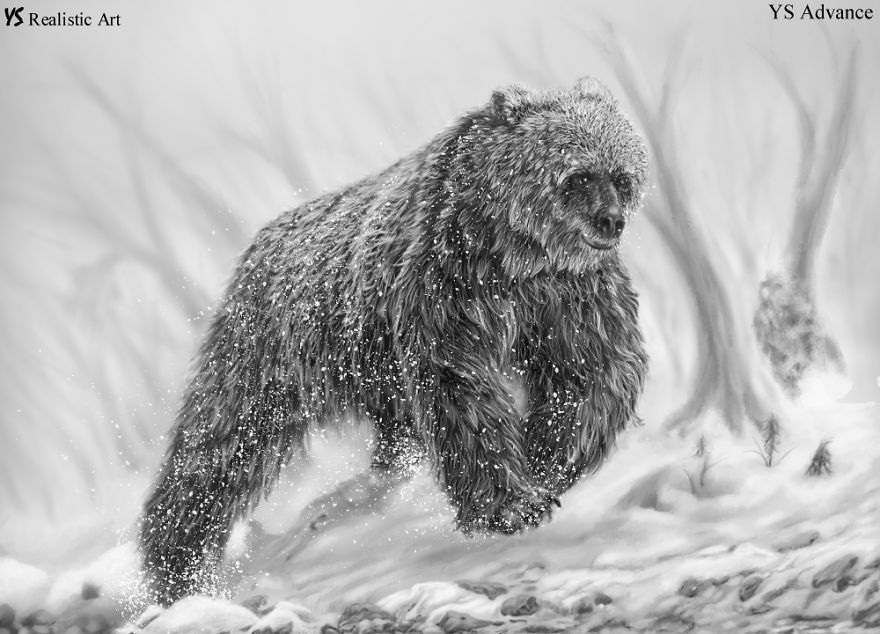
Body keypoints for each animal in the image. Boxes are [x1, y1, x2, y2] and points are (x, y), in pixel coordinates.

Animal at [139, 76, 649, 605]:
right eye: (579, 176)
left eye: (622, 177)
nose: (611, 221)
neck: (517, 253)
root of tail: (258, 245)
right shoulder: (447, 282)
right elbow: (461, 389)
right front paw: (509, 504)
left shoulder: (568, 296)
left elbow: (593, 371)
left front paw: (547, 459)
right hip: (271, 353)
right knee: (220, 443)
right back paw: (176, 565)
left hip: (373, 377)